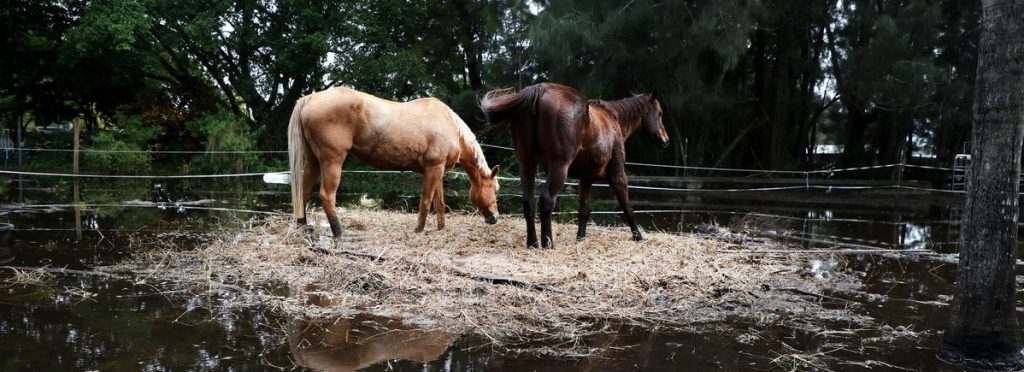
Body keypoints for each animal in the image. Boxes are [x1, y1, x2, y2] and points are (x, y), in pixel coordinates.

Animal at [288, 88, 499, 235]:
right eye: (495, 189)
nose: (495, 218)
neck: (449, 126)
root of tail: (310, 99)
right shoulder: (433, 169)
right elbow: (426, 200)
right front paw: (418, 229)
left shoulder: (438, 171)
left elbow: (438, 201)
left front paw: (440, 228)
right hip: (332, 161)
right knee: (327, 196)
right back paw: (339, 232)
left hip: (313, 162)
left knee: (303, 192)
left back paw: (303, 227)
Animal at [481, 83, 671, 249]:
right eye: (660, 113)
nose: (665, 141)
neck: (613, 119)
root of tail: (539, 90)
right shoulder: (617, 175)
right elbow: (627, 208)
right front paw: (638, 237)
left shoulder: (585, 179)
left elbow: (584, 210)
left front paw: (580, 237)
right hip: (559, 167)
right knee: (547, 200)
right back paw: (548, 243)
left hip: (527, 165)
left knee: (529, 202)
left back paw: (533, 243)